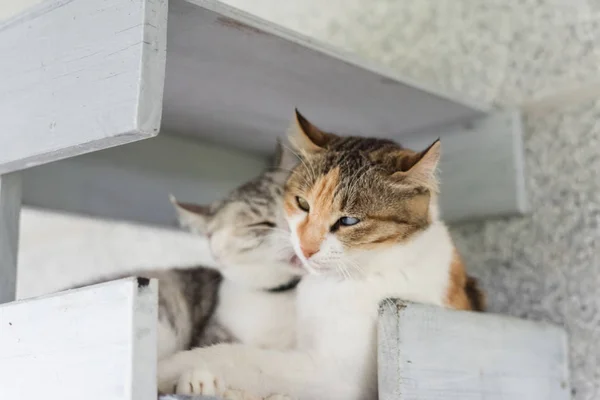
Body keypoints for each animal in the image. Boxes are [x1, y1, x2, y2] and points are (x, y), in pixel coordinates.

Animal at [157, 110, 486, 400]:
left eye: (349, 221)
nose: (304, 247)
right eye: (302, 203)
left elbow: (239, 357)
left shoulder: (336, 377)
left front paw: (167, 368)